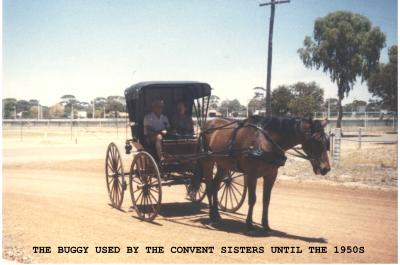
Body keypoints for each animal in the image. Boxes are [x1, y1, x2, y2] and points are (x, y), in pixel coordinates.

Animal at [200, 115, 332, 229]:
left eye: (327, 142)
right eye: (316, 140)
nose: (326, 168)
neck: (265, 142)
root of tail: (208, 123)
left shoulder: (271, 175)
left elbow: (266, 200)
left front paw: (265, 225)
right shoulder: (251, 175)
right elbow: (252, 199)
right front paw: (249, 224)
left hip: (223, 165)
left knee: (216, 185)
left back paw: (217, 215)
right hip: (208, 162)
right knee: (209, 187)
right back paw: (212, 215)